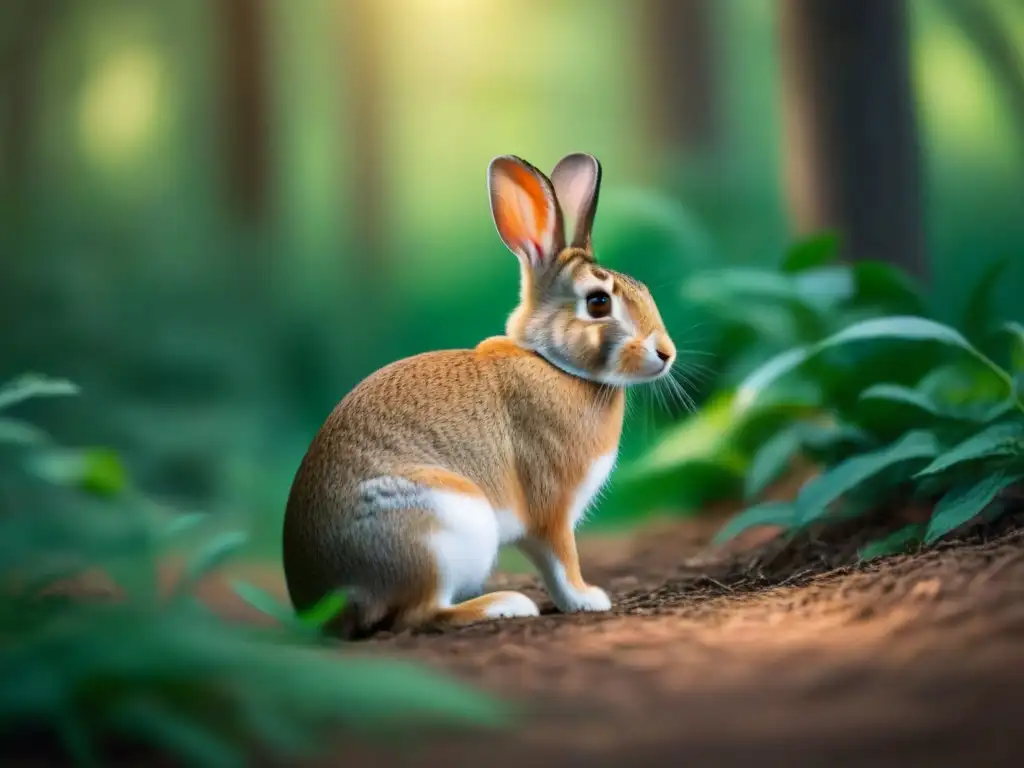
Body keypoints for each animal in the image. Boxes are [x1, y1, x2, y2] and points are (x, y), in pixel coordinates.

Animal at [284, 151, 675, 638]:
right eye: (599, 302)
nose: (666, 353)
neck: (554, 364)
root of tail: (324, 604)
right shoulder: (550, 509)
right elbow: (562, 561)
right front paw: (589, 599)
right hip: (442, 528)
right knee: (419, 614)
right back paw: (505, 605)